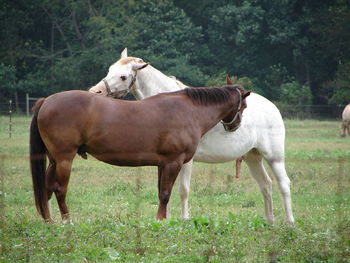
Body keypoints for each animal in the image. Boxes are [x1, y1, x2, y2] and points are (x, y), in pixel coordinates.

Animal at [29, 87, 249, 223]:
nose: (235, 126)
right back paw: (67, 221)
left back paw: (48, 221)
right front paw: (159, 220)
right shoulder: (174, 162)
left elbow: (162, 193)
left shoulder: (163, 164)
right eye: (244, 106)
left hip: (54, 160)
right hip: (64, 159)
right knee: (59, 190)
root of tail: (46, 101)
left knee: (46, 190)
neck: (189, 111)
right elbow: (165, 194)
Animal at [88, 48, 296, 225]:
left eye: (123, 76)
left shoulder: (184, 161)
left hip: (274, 157)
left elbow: (183, 190)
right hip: (253, 157)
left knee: (283, 184)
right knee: (266, 185)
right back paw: (269, 221)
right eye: (109, 70)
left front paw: (184, 219)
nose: (94, 92)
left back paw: (290, 222)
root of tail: (273, 107)